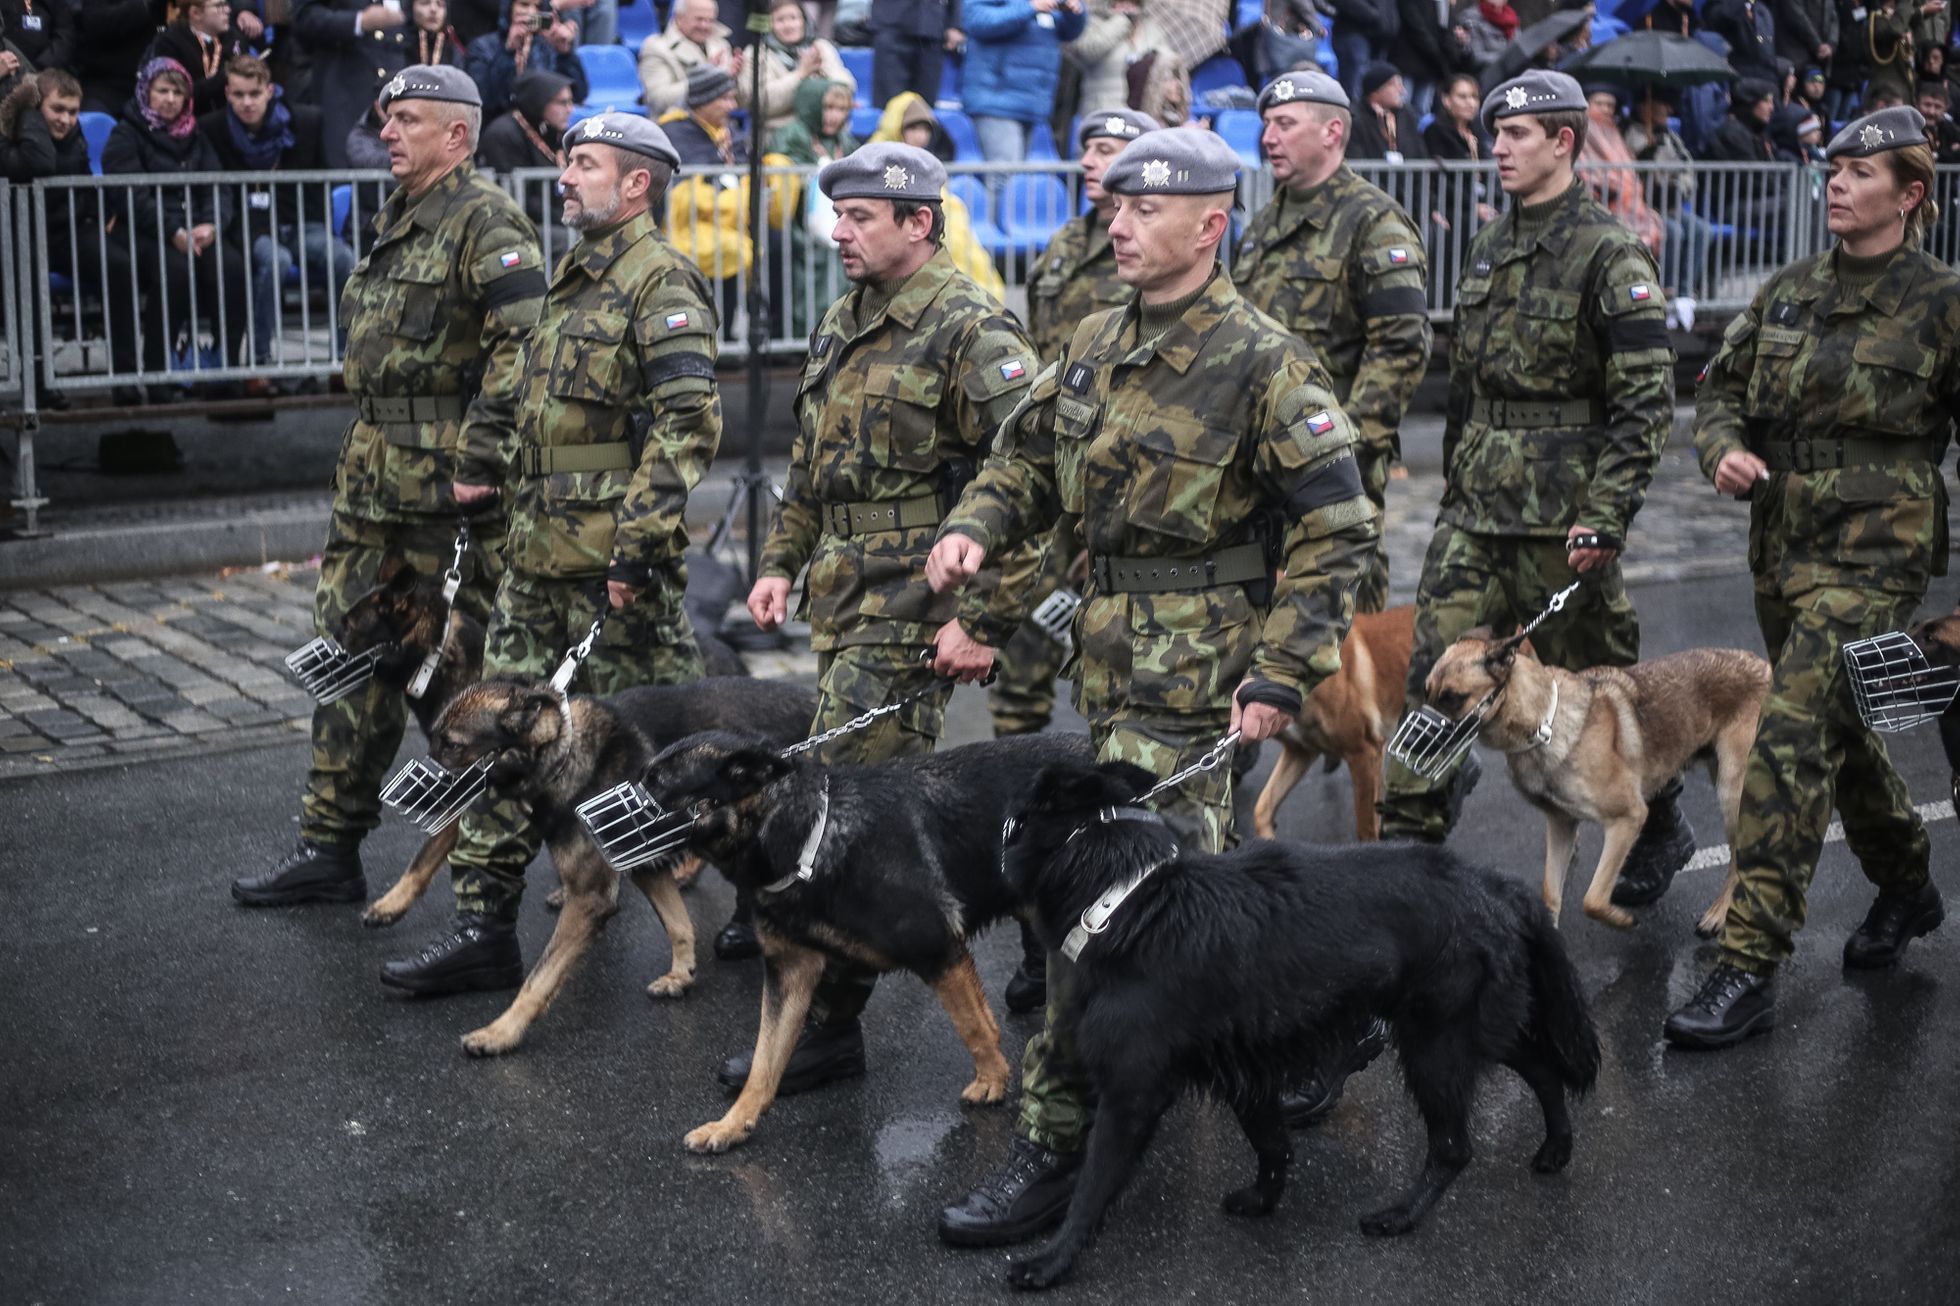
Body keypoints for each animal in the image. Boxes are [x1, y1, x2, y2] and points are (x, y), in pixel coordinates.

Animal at [421, 674, 819, 1051]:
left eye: (451, 744)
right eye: (433, 740)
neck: (565, 753)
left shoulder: (588, 899)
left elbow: (539, 978)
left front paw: (501, 1033)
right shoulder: (645, 866)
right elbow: (678, 924)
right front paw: (682, 974)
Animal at [646, 733, 1097, 1153]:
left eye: (657, 784)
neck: (807, 836)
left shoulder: (939, 951)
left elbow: (974, 1025)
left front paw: (992, 1080)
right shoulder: (789, 973)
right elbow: (764, 1060)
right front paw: (732, 1124)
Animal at [1003, 756, 1599, 1286]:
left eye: (1022, 811)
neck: (1127, 900)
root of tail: (1499, 886)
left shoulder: (1132, 1093)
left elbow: (1092, 1185)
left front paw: (1051, 1262)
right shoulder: (1244, 1069)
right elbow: (1272, 1145)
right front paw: (1263, 1200)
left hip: (1434, 1045)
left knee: (1454, 1147)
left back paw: (1401, 1215)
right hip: (1467, 1028)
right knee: (1542, 1067)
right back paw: (1556, 1147)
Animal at [1426, 627, 1779, 925]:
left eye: (1452, 697)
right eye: (1426, 692)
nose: (1422, 745)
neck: (1544, 723)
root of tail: (1764, 666)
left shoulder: (1628, 819)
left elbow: (1592, 899)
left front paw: (1620, 918)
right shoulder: (1562, 826)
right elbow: (1550, 894)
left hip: (1732, 794)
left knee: (1740, 857)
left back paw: (1720, 913)